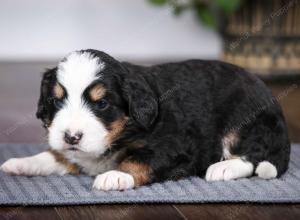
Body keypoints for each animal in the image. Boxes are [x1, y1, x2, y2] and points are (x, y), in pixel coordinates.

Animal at [0, 49, 290, 191]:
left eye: (101, 104)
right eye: (56, 101)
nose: (71, 136)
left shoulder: (174, 147)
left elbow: (138, 160)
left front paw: (116, 175)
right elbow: (56, 156)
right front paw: (22, 163)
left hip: (247, 121)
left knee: (253, 156)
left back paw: (223, 168)